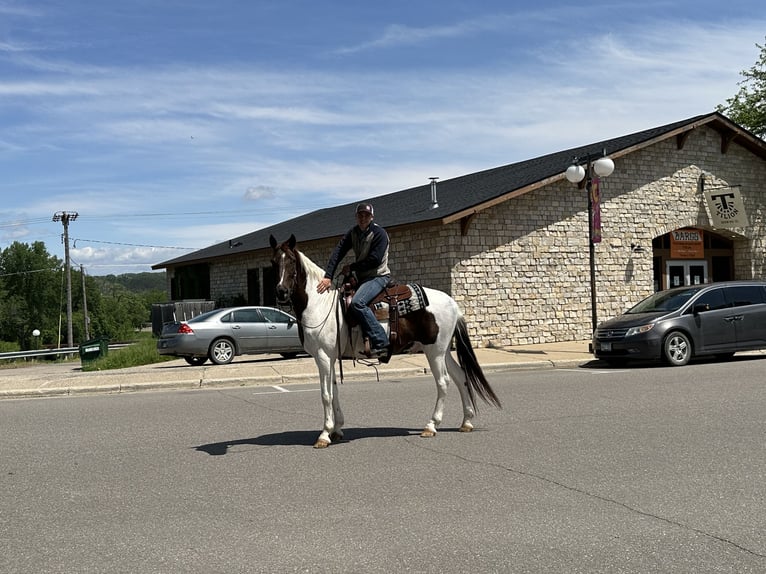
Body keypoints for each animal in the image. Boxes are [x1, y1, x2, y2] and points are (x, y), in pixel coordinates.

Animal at [270, 234, 504, 450]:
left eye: (291, 261)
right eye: (273, 262)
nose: (281, 291)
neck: (320, 304)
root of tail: (453, 304)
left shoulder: (323, 356)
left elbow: (326, 395)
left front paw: (324, 435)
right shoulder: (331, 357)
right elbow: (334, 391)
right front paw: (337, 430)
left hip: (434, 351)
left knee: (443, 382)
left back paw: (431, 426)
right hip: (443, 350)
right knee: (461, 377)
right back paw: (466, 422)